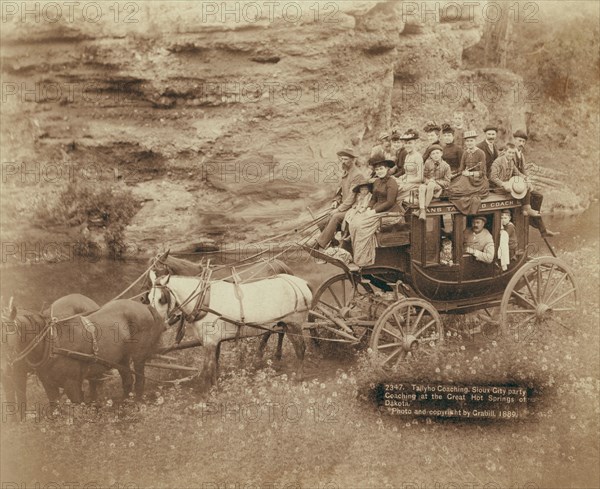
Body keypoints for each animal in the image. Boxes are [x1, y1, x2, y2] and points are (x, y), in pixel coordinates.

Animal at [148, 270, 312, 388]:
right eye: (148, 298)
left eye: (161, 299)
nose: (156, 324)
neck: (203, 301)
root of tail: (302, 283)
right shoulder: (213, 341)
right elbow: (215, 364)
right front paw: (214, 385)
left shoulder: (210, 341)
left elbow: (208, 367)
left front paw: (208, 391)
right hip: (283, 323)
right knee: (281, 335)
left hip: (294, 324)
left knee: (300, 348)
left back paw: (299, 377)